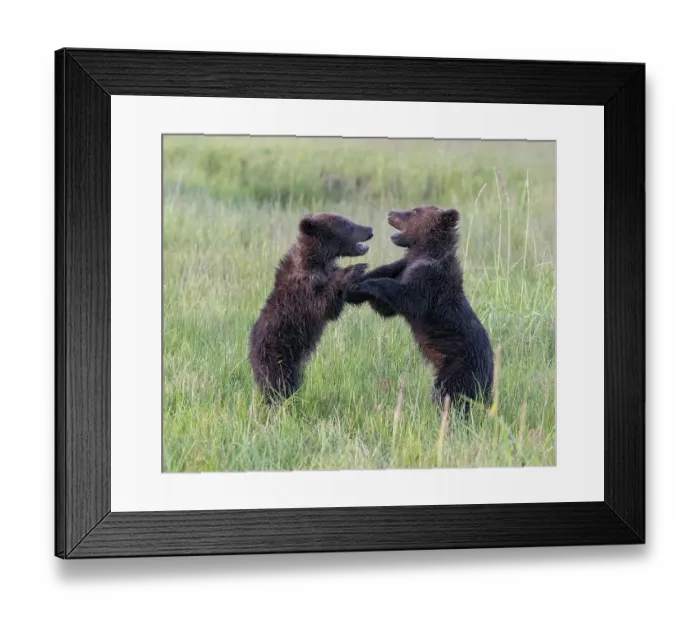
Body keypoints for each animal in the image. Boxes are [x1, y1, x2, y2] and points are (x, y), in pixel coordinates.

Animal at [249, 213, 373, 403]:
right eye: (347, 224)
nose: (369, 229)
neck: (317, 260)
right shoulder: (303, 288)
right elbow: (323, 304)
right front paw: (353, 269)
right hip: (276, 355)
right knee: (277, 383)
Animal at [348, 206, 494, 414]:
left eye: (414, 211)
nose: (390, 212)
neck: (424, 251)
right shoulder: (404, 267)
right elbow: (386, 301)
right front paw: (354, 283)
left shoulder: (430, 279)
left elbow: (409, 298)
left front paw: (364, 285)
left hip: (459, 366)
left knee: (450, 393)